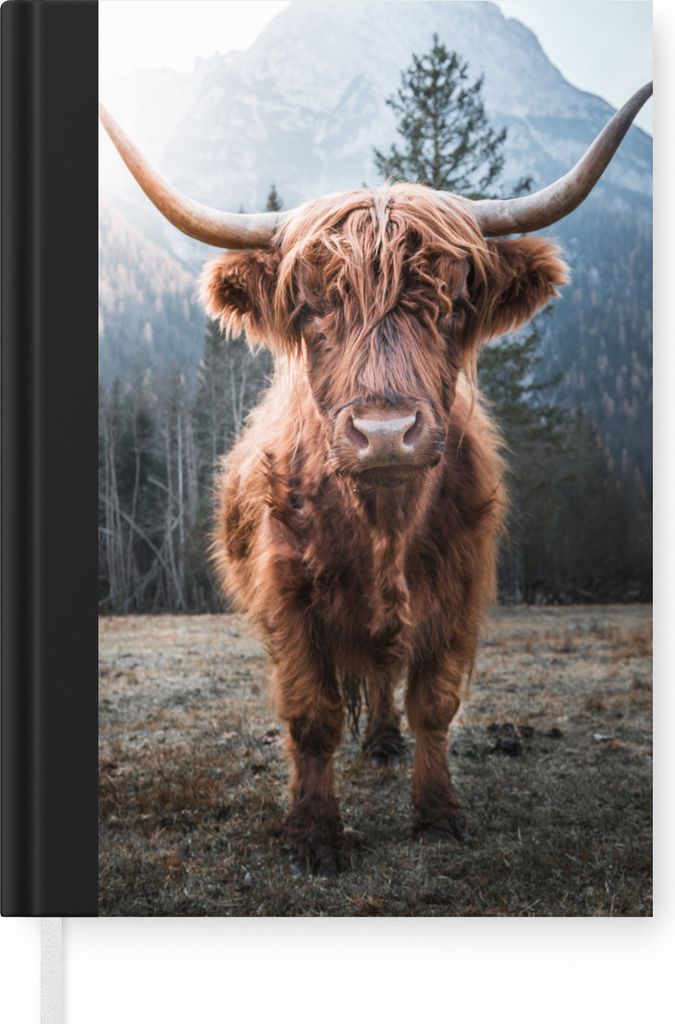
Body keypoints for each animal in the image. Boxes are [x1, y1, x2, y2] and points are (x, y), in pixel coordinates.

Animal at [101, 82, 652, 876]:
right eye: (309, 308)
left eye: (453, 305)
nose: (385, 432)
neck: (382, 524)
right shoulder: (287, 597)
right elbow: (312, 716)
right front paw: (312, 835)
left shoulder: (459, 590)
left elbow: (435, 703)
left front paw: (439, 813)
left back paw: (387, 742)